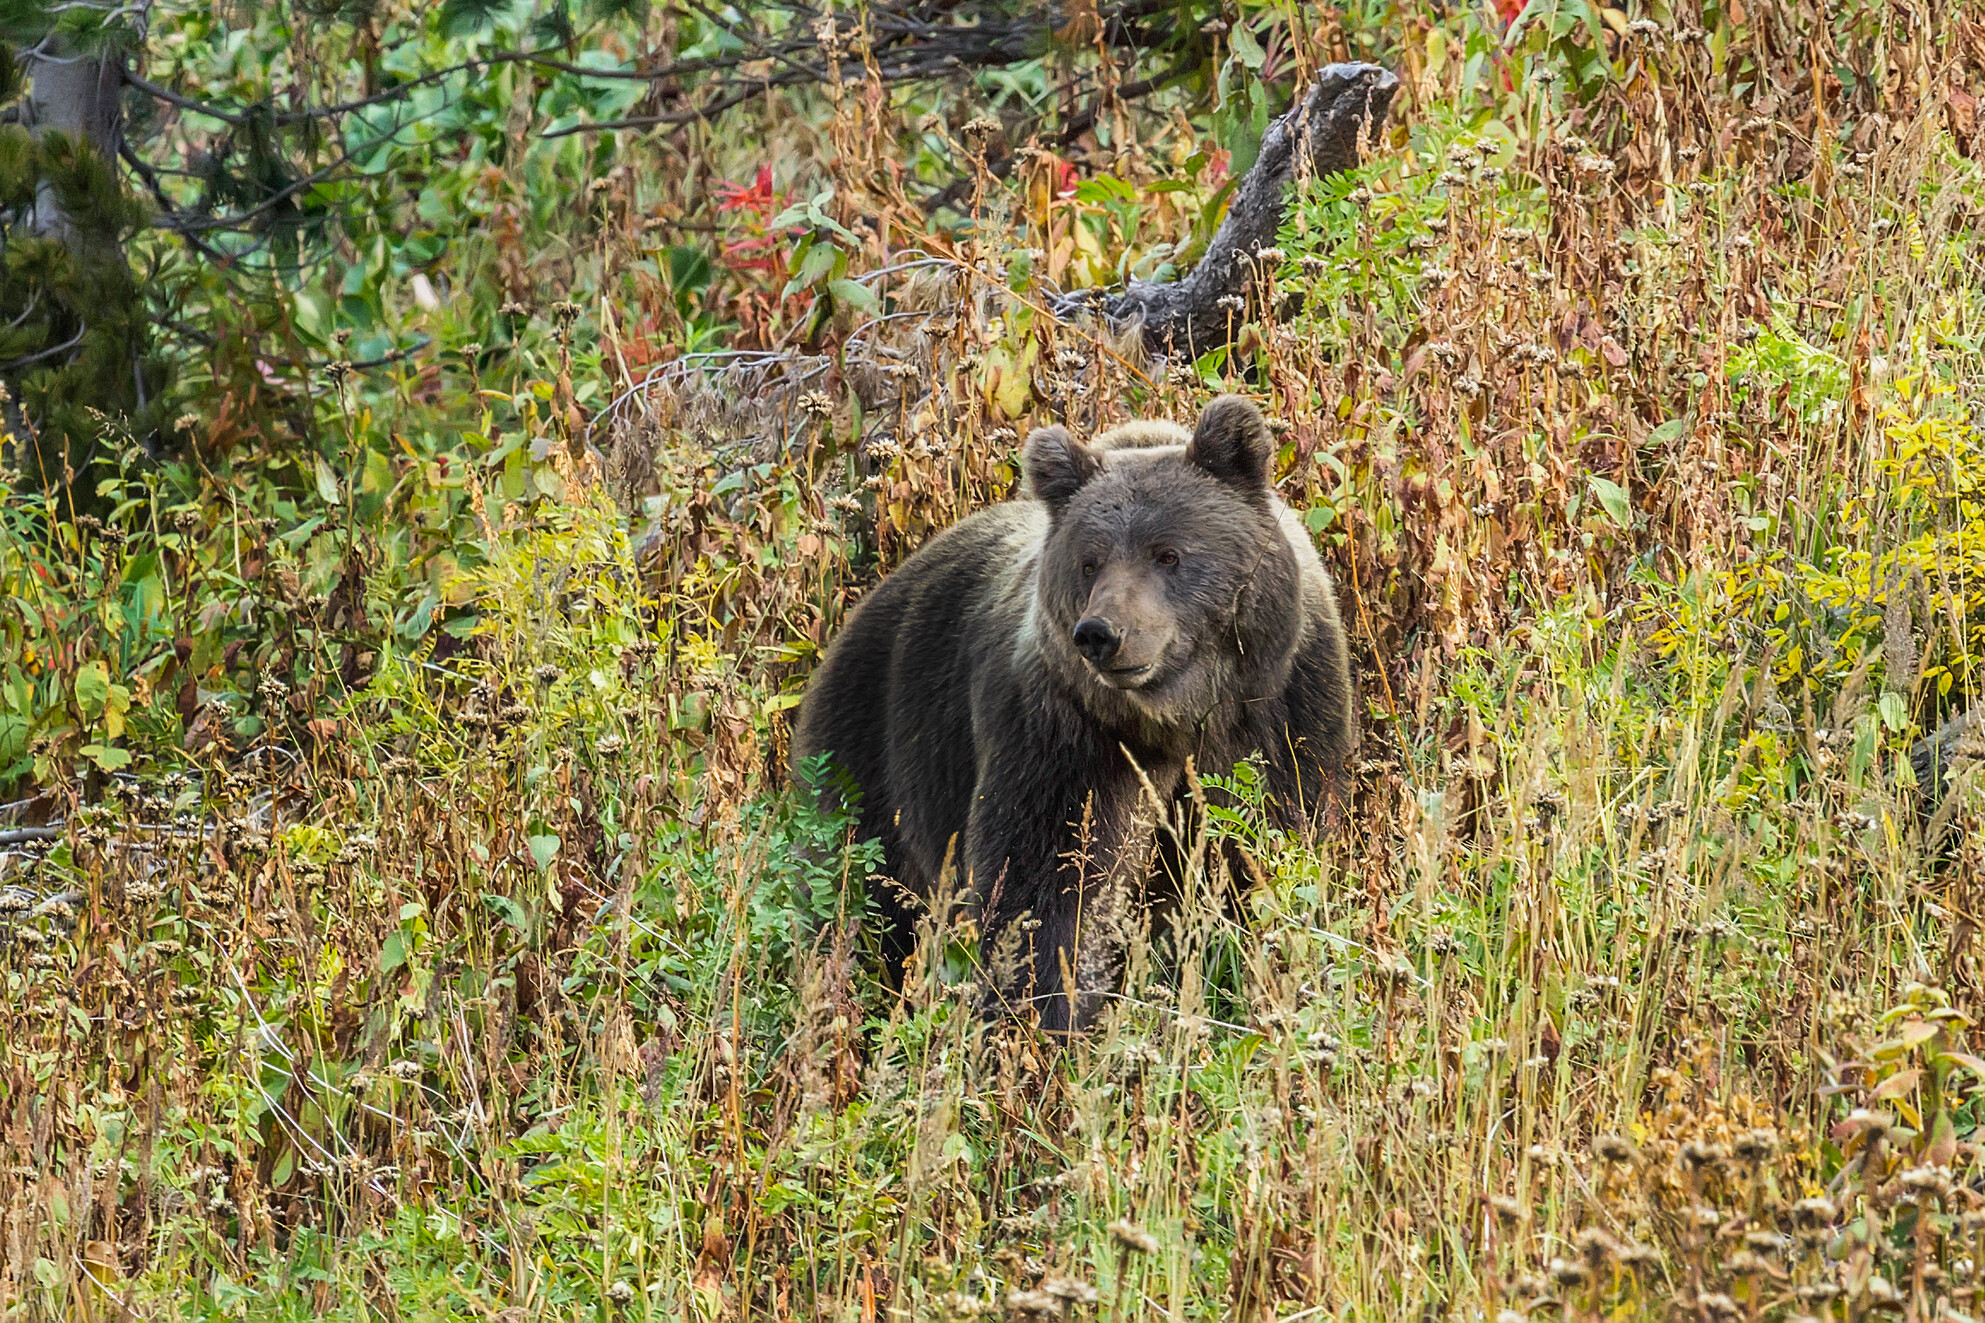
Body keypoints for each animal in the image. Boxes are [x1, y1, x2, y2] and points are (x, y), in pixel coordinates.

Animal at [791, 395, 1356, 1033]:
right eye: (1090, 562)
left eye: (1169, 554)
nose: (1101, 633)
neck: (1175, 715)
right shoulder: (1066, 733)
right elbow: (1049, 884)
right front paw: (1044, 1013)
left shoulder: (1281, 708)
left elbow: (1271, 842)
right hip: (874, 752)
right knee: (858, 898)